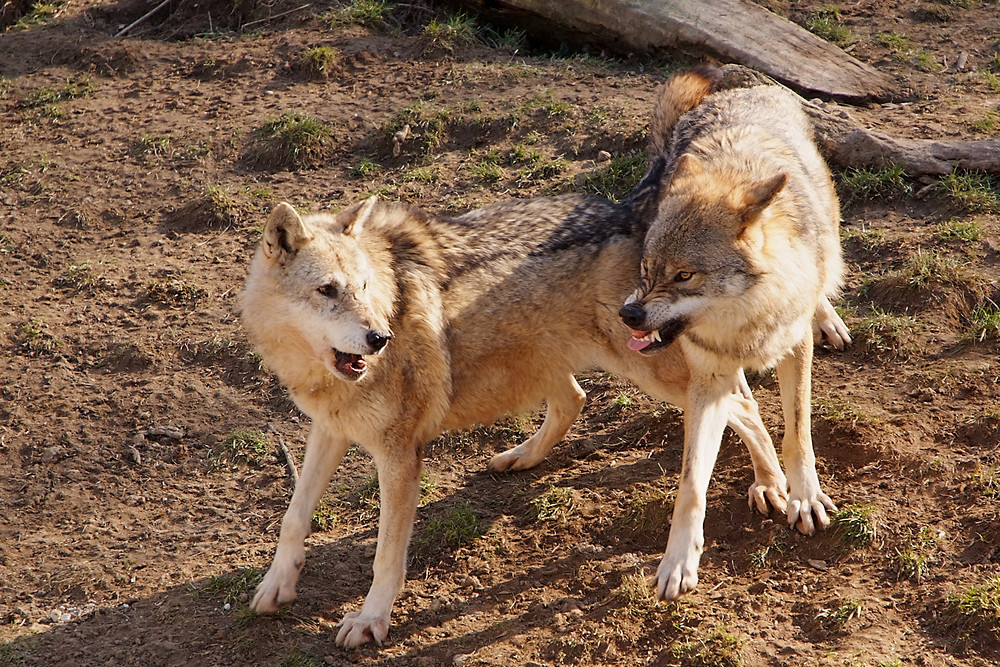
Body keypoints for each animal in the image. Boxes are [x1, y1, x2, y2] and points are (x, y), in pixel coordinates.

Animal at [244, 192, 812, 648]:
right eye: (327, 290)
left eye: (362, 287)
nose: (379, 337)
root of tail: (636, 212)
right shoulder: (330, 428)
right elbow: (293, 516)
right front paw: (277, 584)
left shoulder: (399, 453)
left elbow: (386, 556)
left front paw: (369, 620)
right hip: (546, 360)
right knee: (579, 400)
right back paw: (521, 458)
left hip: (649, 371)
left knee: (740, 403)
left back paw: (772, 485)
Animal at [620, 66, 848, 600]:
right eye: (647, 269)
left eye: (684, 276)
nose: (629, 314)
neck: (745, 320)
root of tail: (742, 88)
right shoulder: (706, 378)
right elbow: (690, 484)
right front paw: (679, 559)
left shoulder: (794, 349)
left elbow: (798, 433)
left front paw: (806, 497)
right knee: (745, 406)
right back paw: (765, 481)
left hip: (830, 229)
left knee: (826, 271)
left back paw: (826, 313)